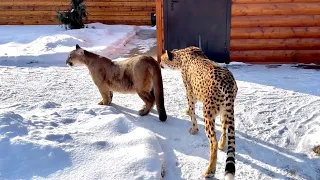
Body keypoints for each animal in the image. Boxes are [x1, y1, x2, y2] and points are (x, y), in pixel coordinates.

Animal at [160, 46, 238, 179]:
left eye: (161, 59)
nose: (159, 64)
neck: (181, 56)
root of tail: (227, 81)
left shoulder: (190, 93)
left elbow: (192, 111)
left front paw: (194, 128)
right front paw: (188, 112)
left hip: (208, 113)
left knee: (213, 142)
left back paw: (210, 170)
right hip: (225, 110)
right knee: (224, 127)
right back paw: (222, 144)